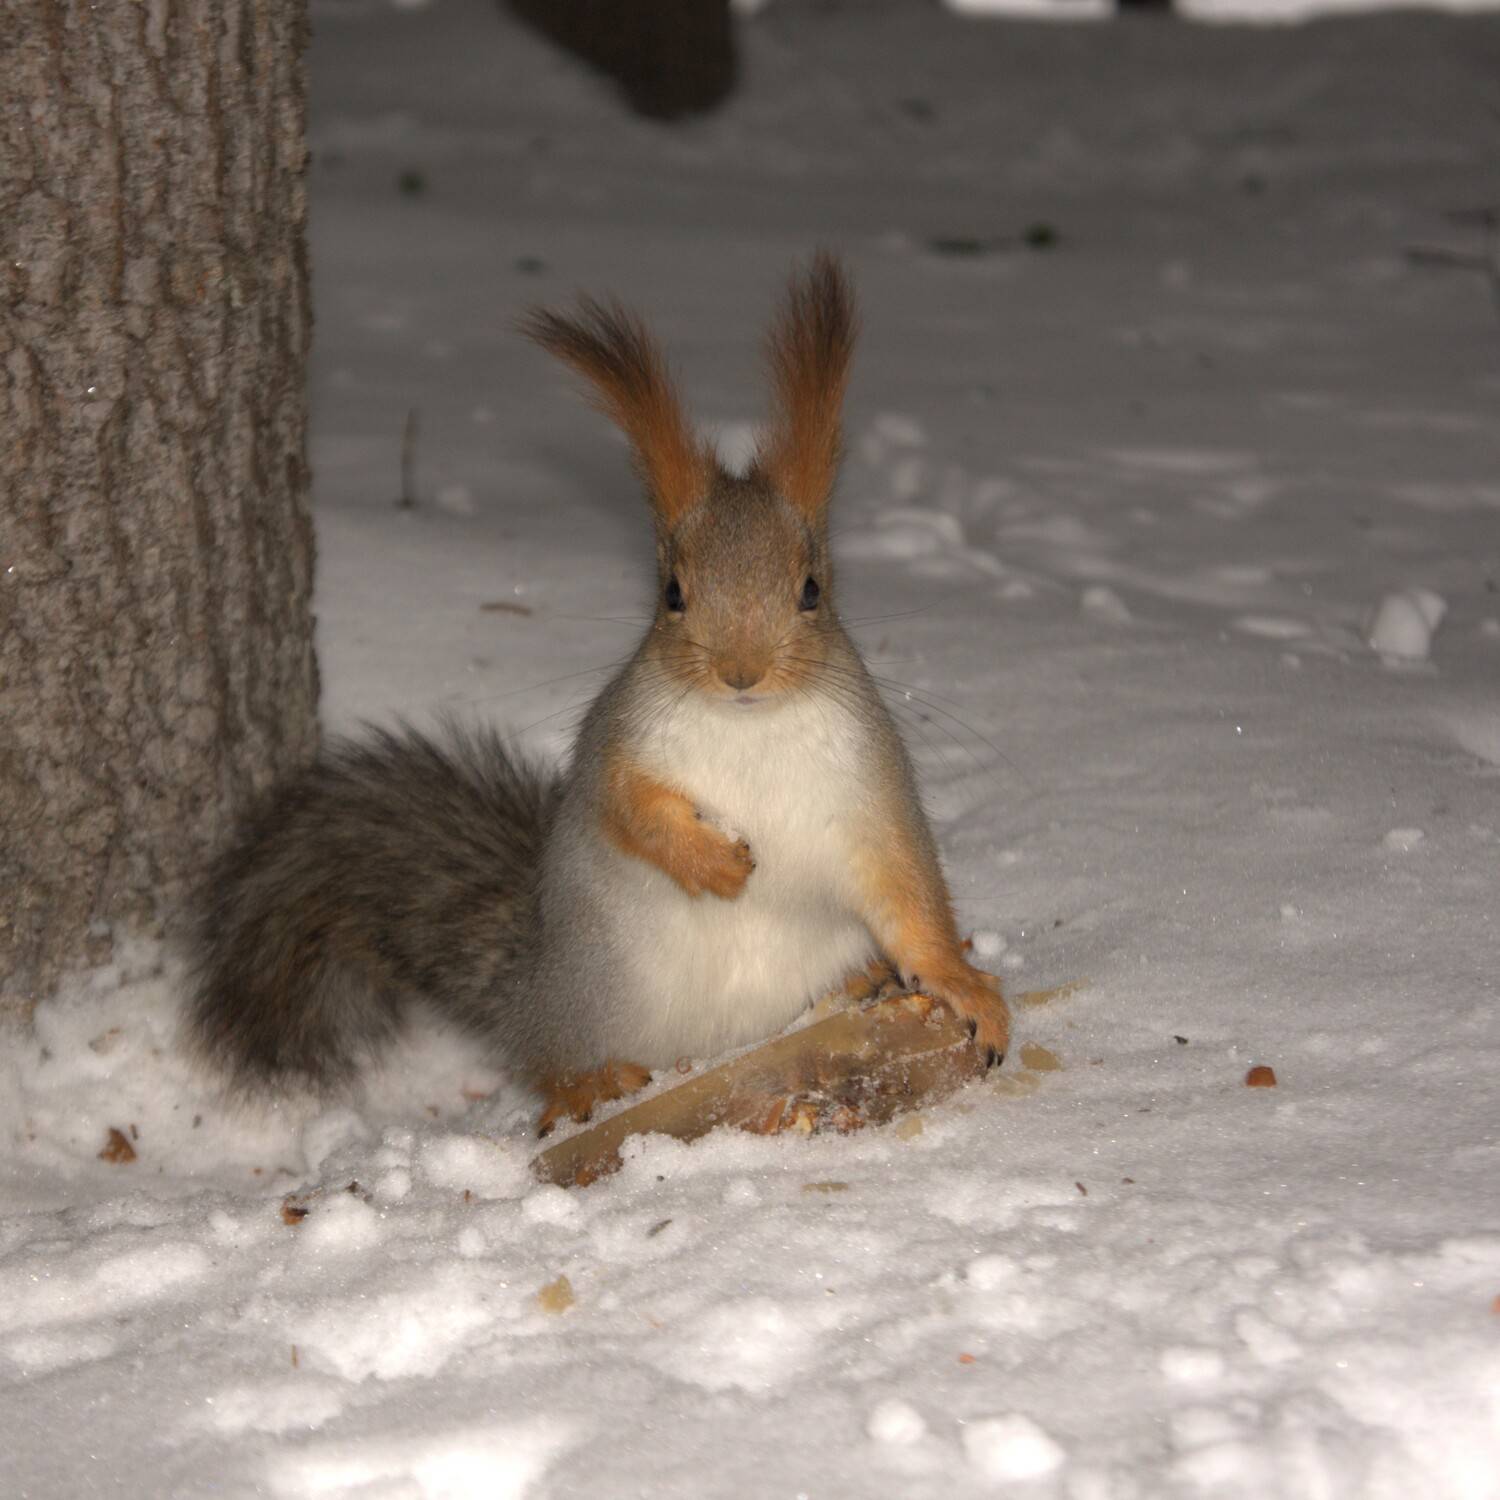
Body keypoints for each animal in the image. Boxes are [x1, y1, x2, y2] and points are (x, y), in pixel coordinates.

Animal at [186, 253, 1010, 1136]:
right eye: (672, 593)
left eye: (813, 589)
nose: (741, 672)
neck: (748, 726)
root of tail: (531, 988)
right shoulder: (617, 736)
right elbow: (621, 804)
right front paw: (710, 862)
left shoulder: (868, 781)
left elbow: (909, 890)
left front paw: (963, 988)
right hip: (591, 999)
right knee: (547, 1063)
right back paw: (587, 1087)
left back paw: (854, 992)